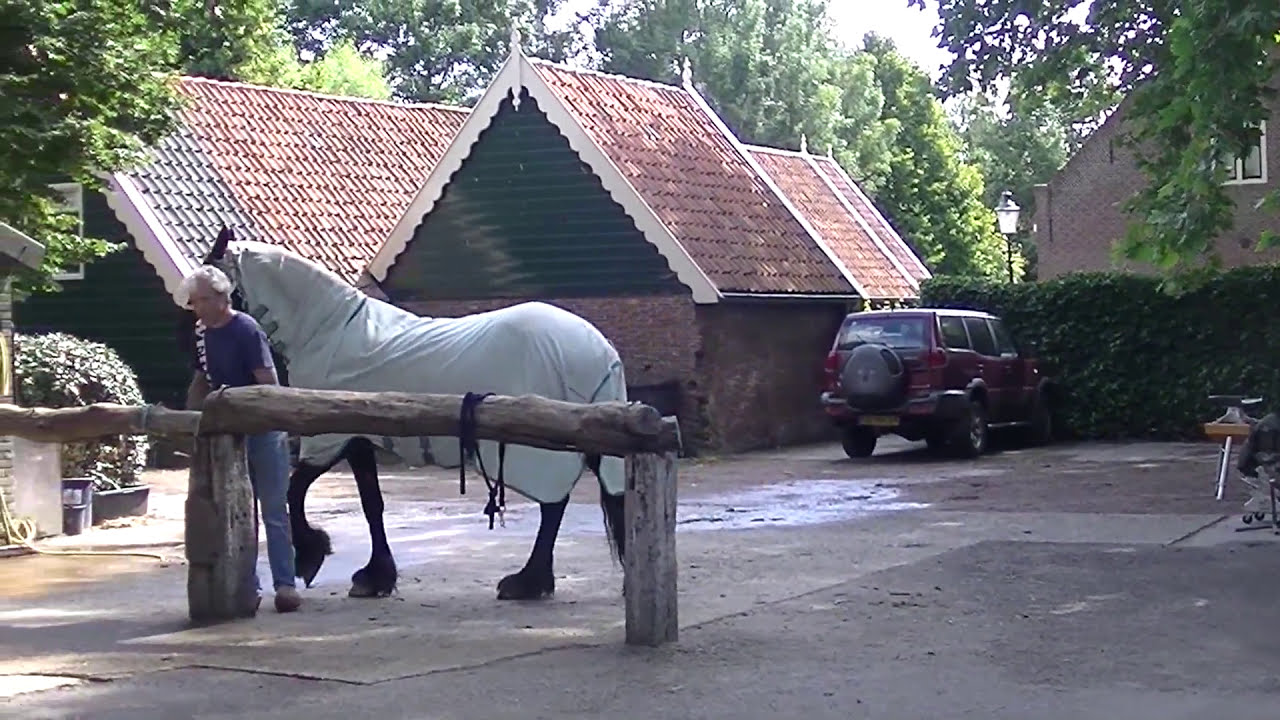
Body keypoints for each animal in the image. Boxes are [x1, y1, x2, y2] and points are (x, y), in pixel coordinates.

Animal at [175, 228, 630, 601]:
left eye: (203, 296)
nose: (192, 379)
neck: (329, 332)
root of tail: (600, 348)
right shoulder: (359, 440)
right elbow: (371, 504)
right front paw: (376, 576)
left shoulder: (333, 438)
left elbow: (295, 491)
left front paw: (314, 556)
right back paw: (538, 581)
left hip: (544, 449)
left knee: (553, 506)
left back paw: (526, 582)